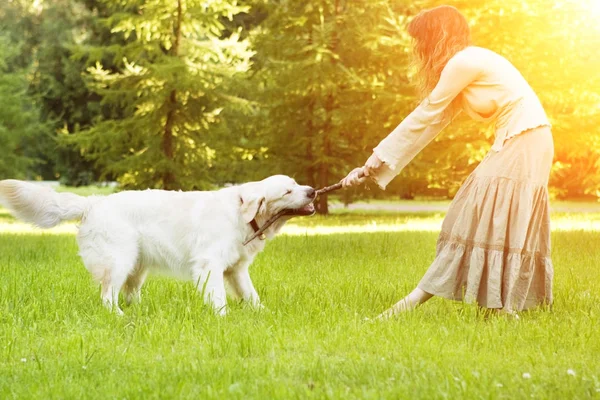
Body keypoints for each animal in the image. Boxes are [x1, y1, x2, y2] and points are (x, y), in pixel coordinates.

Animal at [0, 177, 316, 314]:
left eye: (297, 183)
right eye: (288, 191)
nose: (313, 190)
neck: (241, 212)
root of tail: (94, 202)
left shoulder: (237, 270)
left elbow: (251, 295)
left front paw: (262, 314)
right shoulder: (209, 265)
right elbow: (218, 298)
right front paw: (223, 317)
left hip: (137, 267)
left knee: (129, 293)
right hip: (119, 260)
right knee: (107, 295)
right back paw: (119, 316)